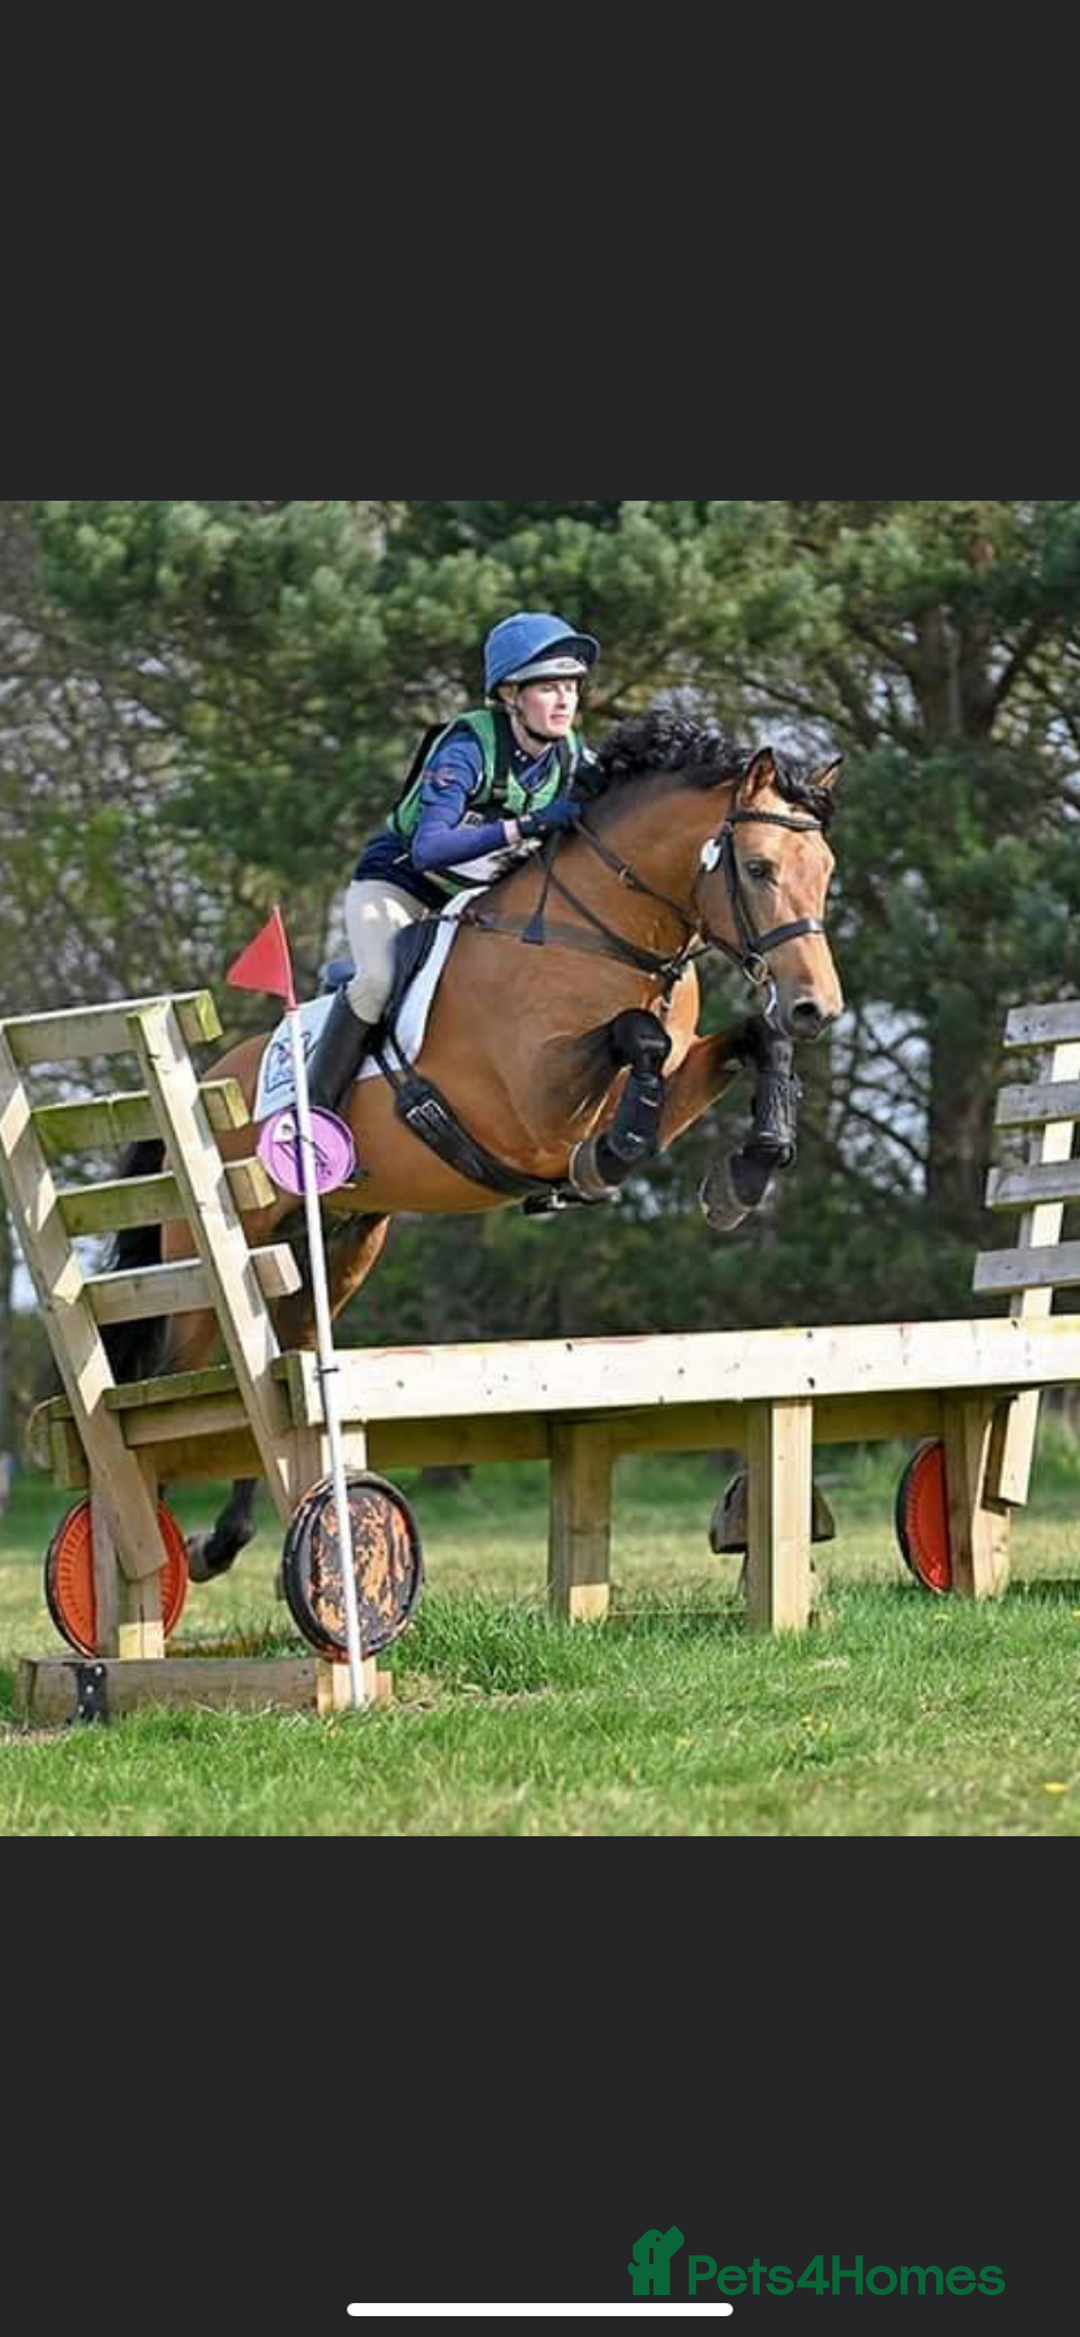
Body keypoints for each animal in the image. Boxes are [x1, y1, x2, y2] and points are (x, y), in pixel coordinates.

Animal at [104, 711, 844, 1578]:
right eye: (758, 867)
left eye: (824, 871)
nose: (817, 1007)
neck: (599, 936)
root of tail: (210, 1078)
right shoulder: (532, 1105)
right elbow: (639, 1036)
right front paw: (611, 1156)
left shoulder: (674, 1074)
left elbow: (748, 1041)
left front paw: (746, 1172)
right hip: (215, 1256)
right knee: (172, 1387)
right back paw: (149, 1549)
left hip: (336, 1249)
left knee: (284, 1369)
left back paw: (224, 1539)